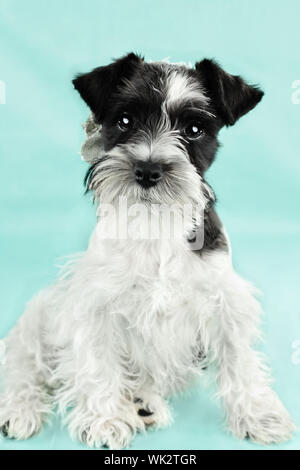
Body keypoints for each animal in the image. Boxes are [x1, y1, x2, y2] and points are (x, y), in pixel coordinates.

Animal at [0, 52, 296, 448]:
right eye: (125, 121)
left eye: (194, 129)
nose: (148, 169)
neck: (156, 224)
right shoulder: (95, 305)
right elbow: (97, 363)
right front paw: (106, 419)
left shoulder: (224, 300)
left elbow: (239, 359)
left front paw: (258, 414)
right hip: (41, 313)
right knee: (25, 363)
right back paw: (20, 408)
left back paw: (143, 403)